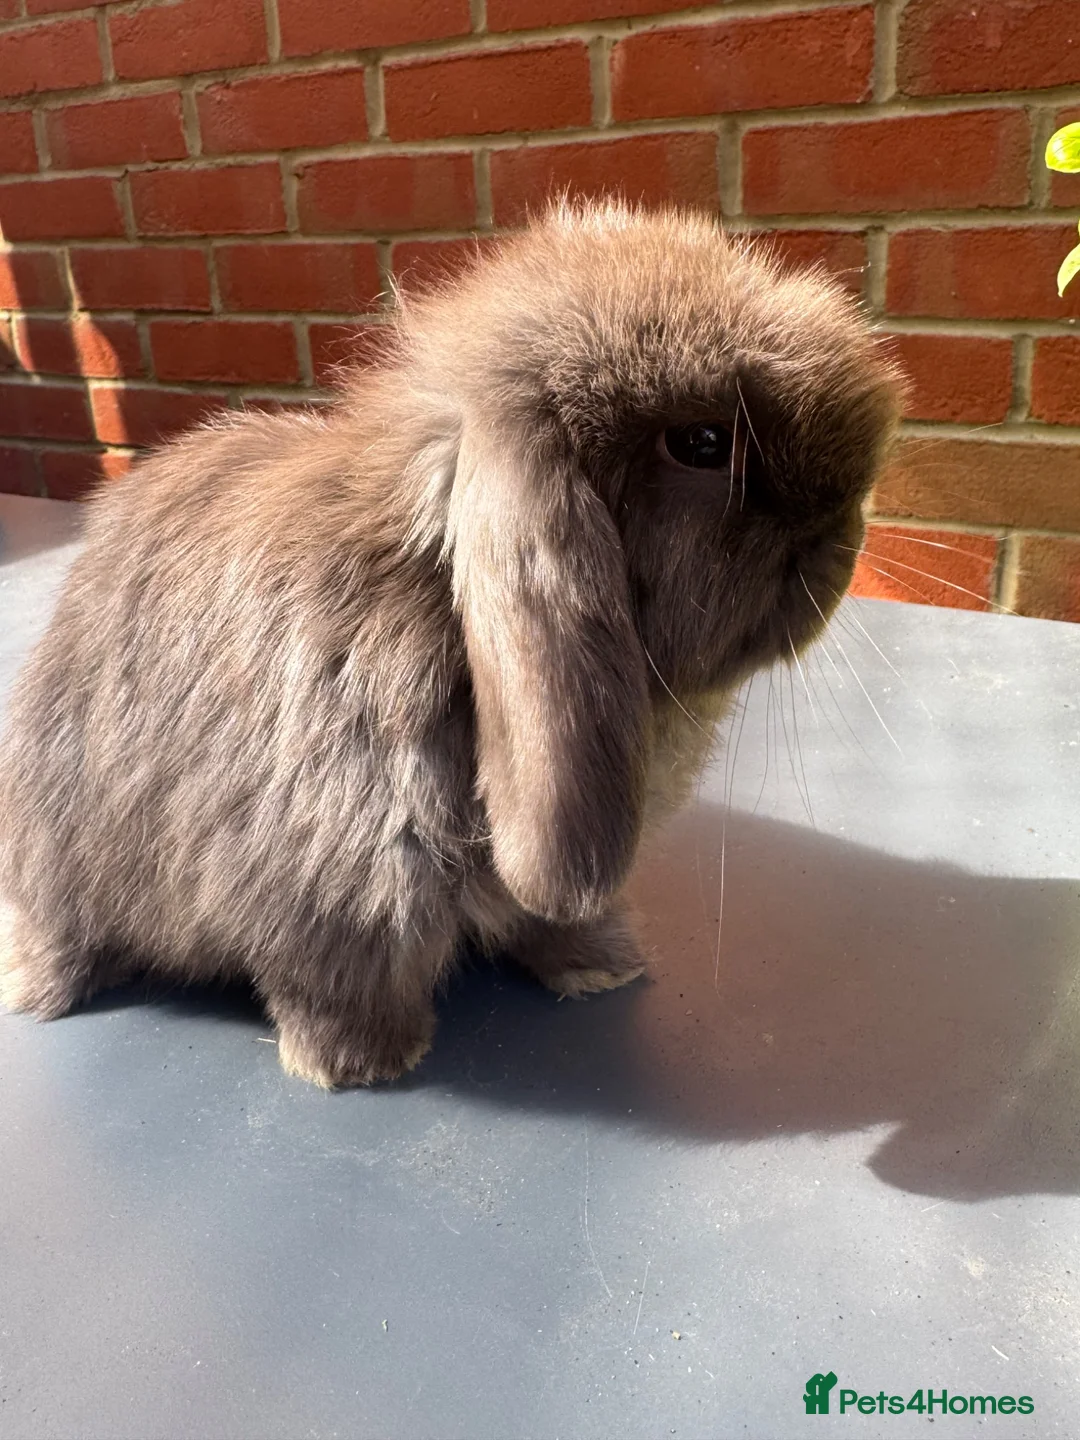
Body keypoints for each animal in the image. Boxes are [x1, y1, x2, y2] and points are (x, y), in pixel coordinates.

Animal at [0, 202, 902, 1087]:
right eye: (704, 444)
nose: (849, 528)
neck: (437, 612)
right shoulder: (331, 886)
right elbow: (334, 975)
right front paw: (362, 1064)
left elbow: (548, 919)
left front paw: (603, 966)